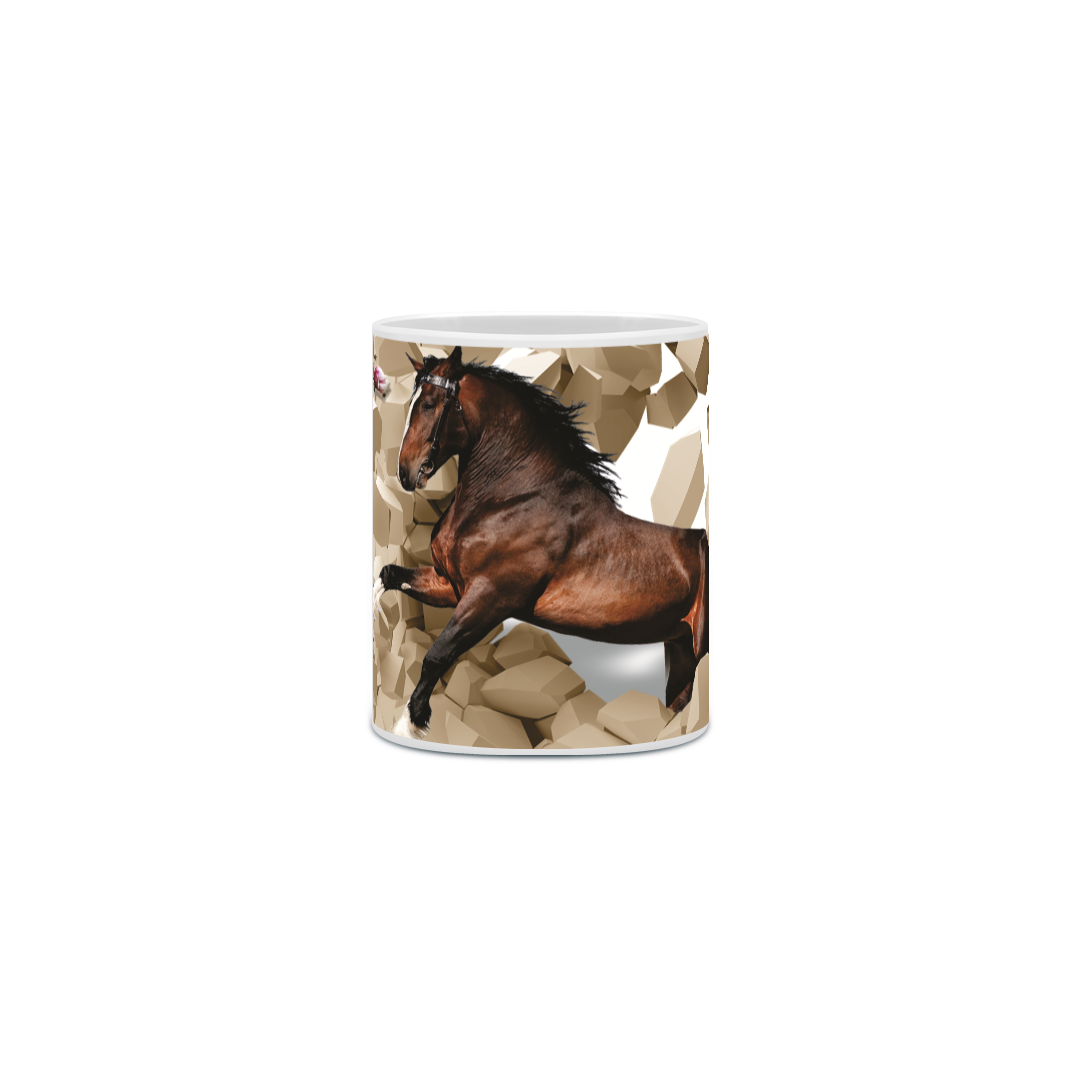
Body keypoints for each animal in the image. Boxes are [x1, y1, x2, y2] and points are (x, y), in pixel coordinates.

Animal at [374, 345, 709, 740]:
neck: (513, 497)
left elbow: (436, 655)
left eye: (429, 403)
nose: (406, 472)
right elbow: (388, 575)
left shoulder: (489, 598)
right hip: (681, 649)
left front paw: (411, 722)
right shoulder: (450, 585)